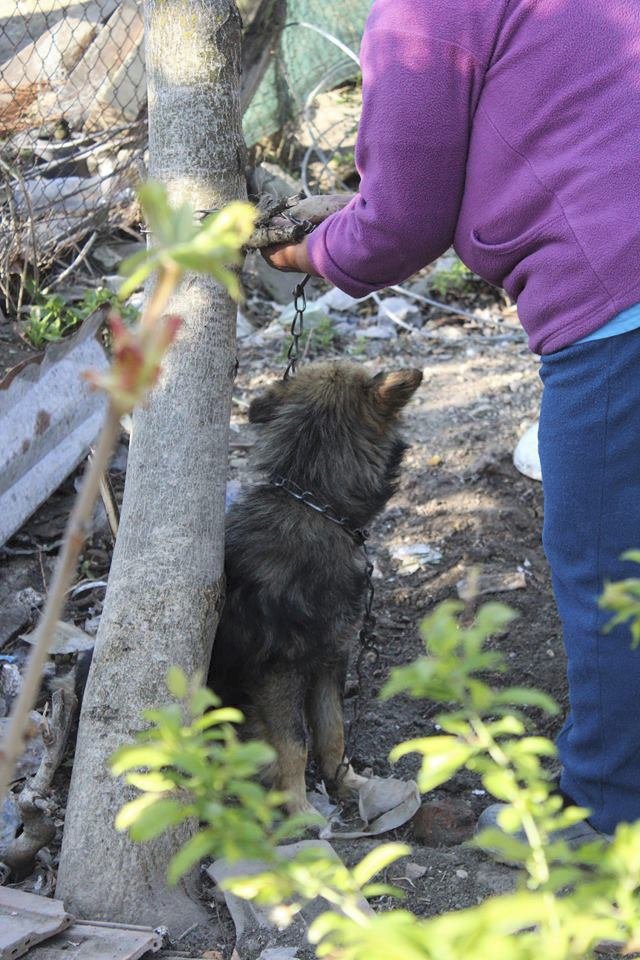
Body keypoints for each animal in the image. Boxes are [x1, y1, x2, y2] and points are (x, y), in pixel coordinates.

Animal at [208, 360, 422, 808]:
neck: (313, 503)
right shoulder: (278, 671)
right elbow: (294, 742)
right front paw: (299, 806)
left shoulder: (331, 657)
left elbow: (332, 730)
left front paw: (347, 782)